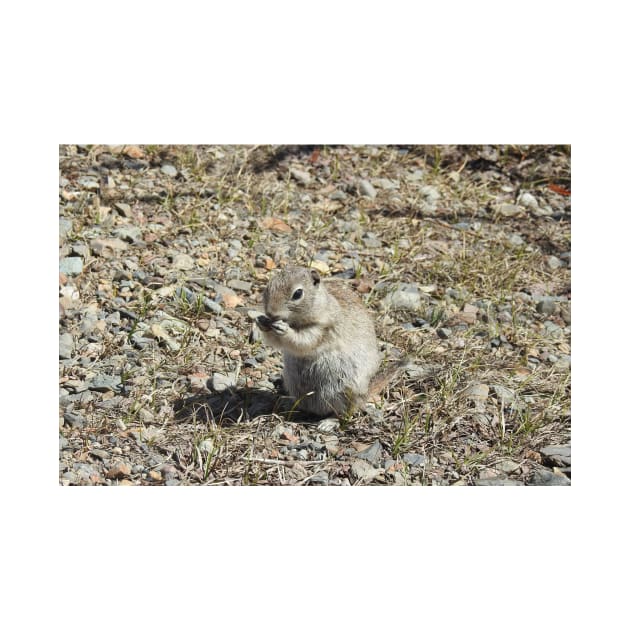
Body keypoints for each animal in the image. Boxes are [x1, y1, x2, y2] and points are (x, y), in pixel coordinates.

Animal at [256, 266, 404, 420]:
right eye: (267, 287)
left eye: (298, 293)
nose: (271, 313)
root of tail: (365, 395)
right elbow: (274, 340)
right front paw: (261, 321)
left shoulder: (321, 329)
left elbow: (303, 341)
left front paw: (284, 330)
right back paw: (288, 403)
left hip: (342, 390)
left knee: (344, 412)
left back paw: (328, 421)